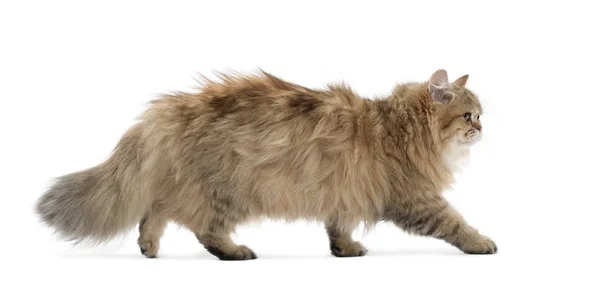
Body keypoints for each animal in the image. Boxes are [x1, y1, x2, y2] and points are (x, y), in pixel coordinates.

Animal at [36, 68, 496, 260]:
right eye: (469, 115)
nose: (484, 127)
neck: (400, 125)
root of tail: (167, 111)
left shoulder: (344, 191)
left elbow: (339, 227)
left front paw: (344, 250)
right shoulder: (414, 197)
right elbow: (455, 223)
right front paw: (481, 243)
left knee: (156, 211)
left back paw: (148, 247)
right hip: (230, 189)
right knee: (202, 227)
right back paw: (234, 252)